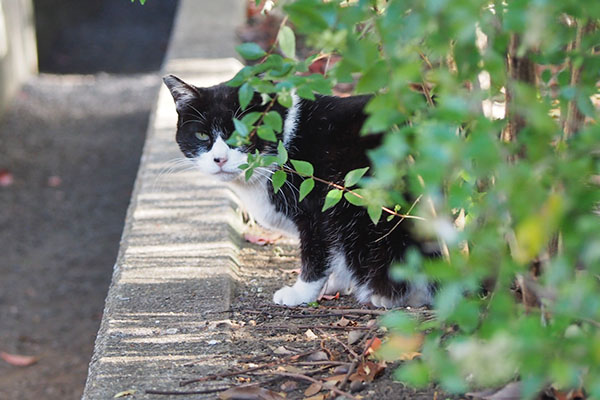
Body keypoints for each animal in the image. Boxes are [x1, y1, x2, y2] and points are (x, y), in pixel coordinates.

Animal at [164, 74, 436, 306]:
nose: (219, 159)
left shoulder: (321, 208)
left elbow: (316, 252)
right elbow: (336, 253)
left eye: (247, 132)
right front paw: (336, 283)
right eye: (202, 135)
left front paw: (301, 293)